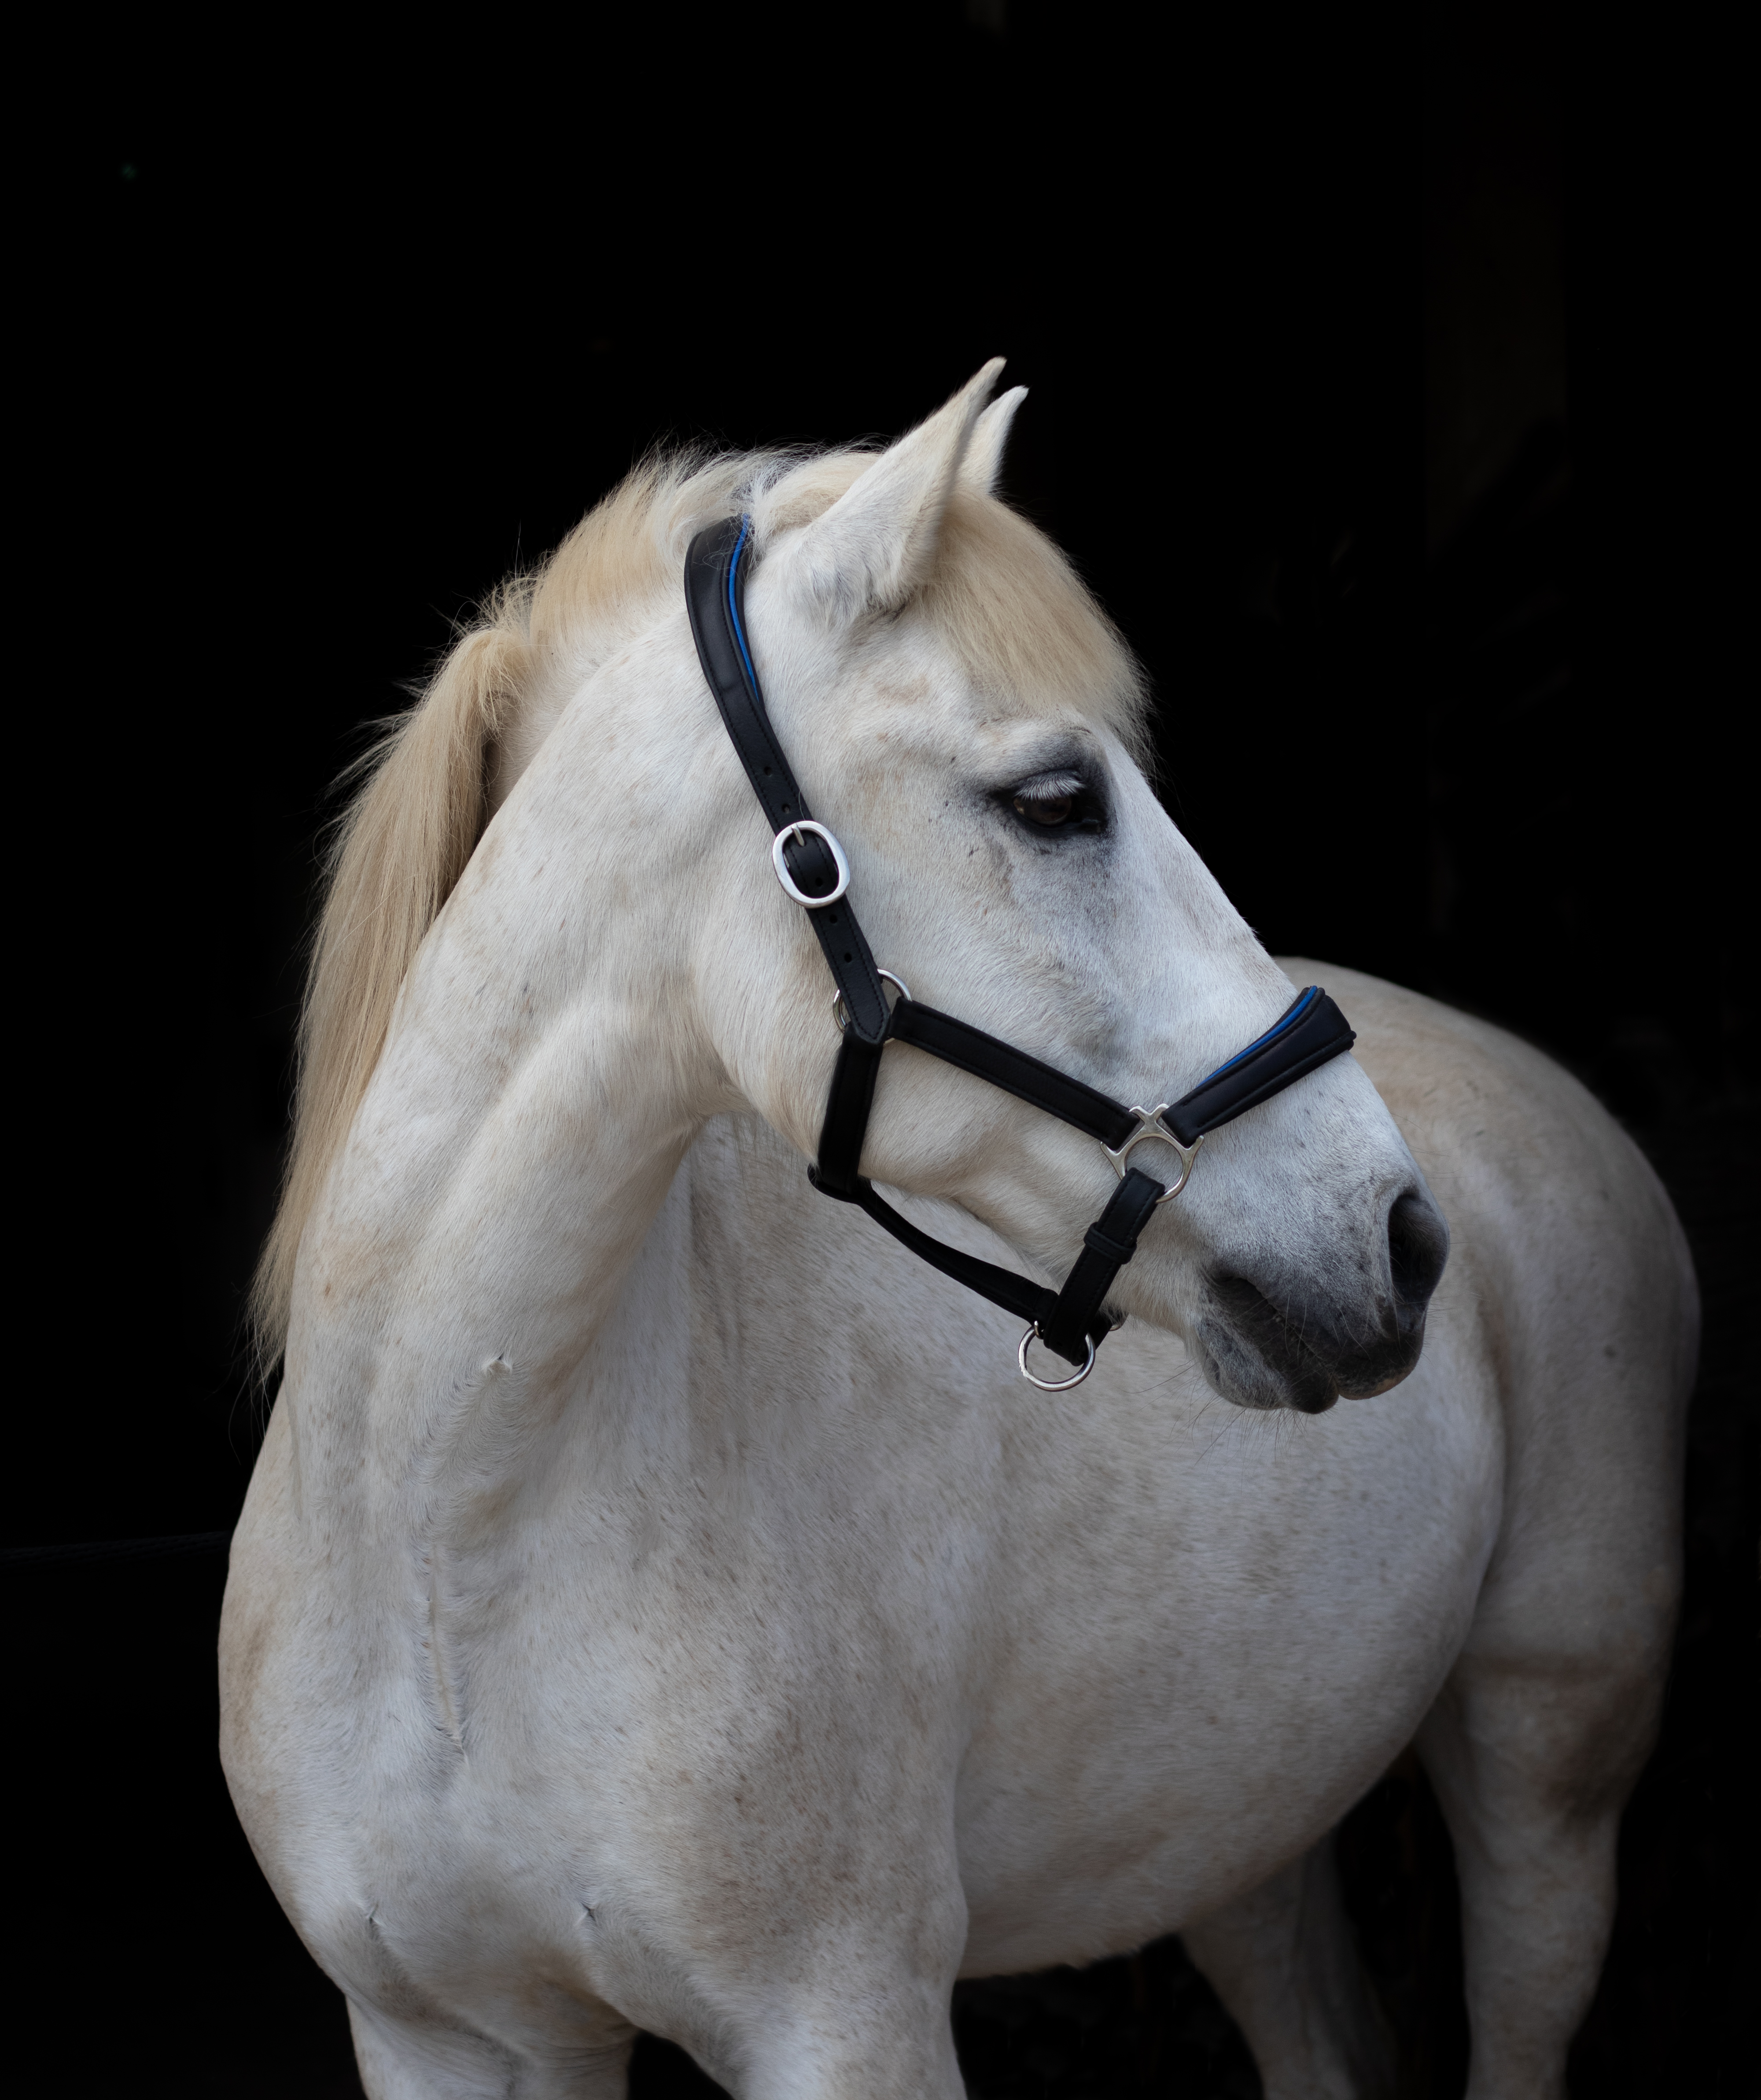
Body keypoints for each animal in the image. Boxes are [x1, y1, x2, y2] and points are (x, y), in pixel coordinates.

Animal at [221, 363, 1694, 2099]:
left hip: (1545, 1770)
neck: (443, 1538)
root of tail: (1549, 1092)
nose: (1395, 1235)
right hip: (1224, 1827)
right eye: (1054, 798)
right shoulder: (446, 2034)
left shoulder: (845, 2025)